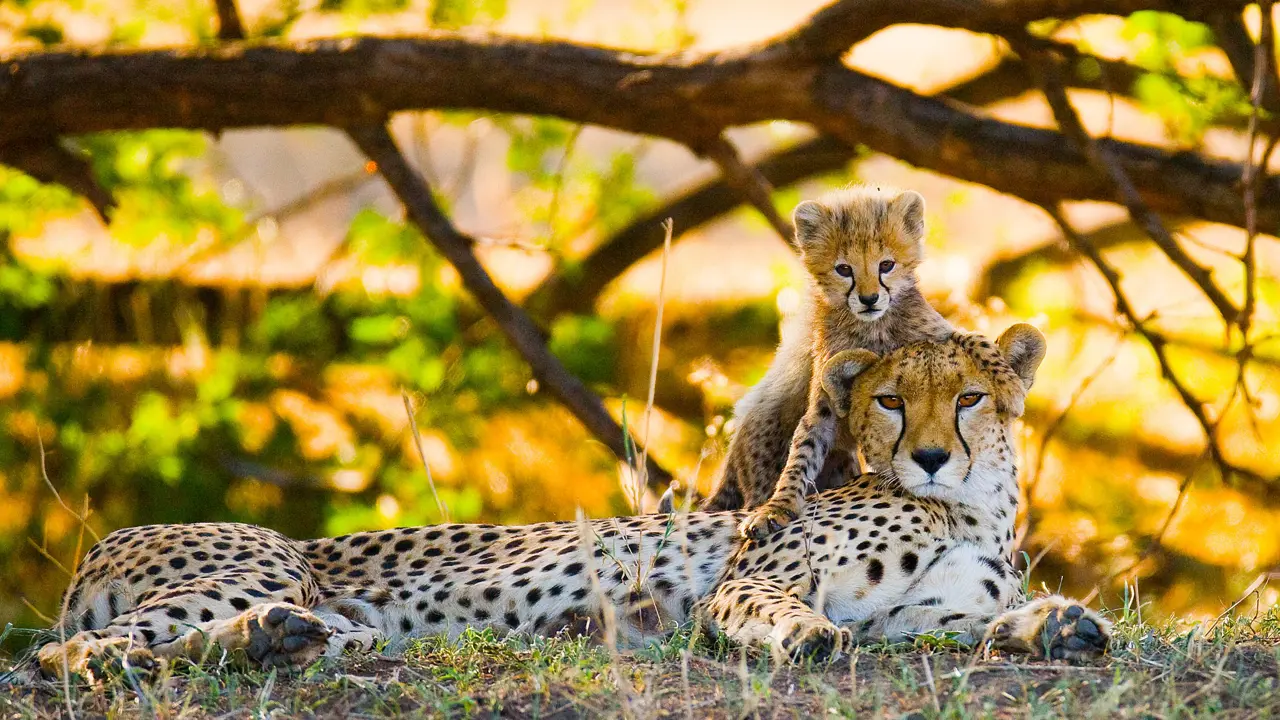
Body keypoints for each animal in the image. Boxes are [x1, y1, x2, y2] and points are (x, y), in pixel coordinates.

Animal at [35, 325, 1105, 676]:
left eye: (967, 399)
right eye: (890, 400)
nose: (928, 457)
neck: (970, 509)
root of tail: (103, 542)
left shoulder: (914, 618)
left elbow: (969, 628)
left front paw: (1055, 627)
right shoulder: (753, 578)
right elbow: (776, 607)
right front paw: (802, 635)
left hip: (342, 619)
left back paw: (276, 642)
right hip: (260, 561)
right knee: (67, 653)